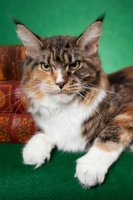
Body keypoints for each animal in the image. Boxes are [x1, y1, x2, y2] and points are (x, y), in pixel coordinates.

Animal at [12, 15, 133, 188]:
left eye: (75, 64)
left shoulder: (127, 108)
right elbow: (46, 131)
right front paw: (35, 147)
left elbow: (111, 132)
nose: (60, 83)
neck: (64, 109)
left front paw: (91, 166)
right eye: (46, 66)